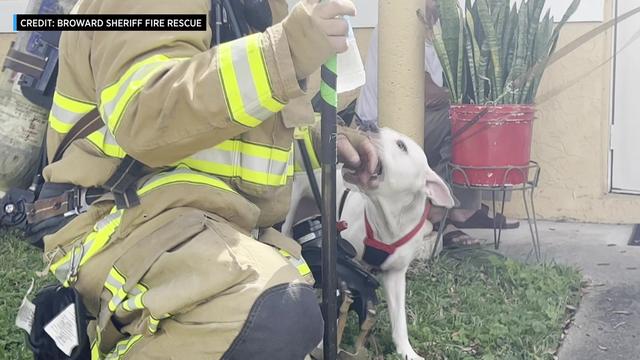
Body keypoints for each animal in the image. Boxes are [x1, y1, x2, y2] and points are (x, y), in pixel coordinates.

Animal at [284, 126, 456, 360]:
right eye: (381, 129)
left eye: (401, 145)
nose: (370, 127)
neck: (389, 221)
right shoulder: (344, 266)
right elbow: (338, 304)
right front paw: (324, 344)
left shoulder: (395, 275)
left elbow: (399, 319)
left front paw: (406, 351)